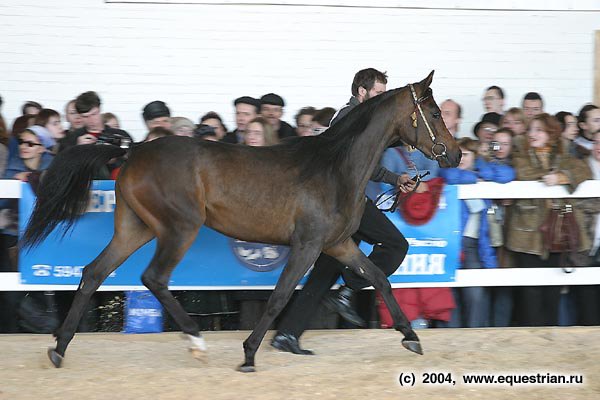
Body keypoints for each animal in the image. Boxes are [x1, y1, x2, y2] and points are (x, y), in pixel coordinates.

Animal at [22, 69, 460, 372]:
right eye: (434, 111)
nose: (454, 154)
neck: (335, 166)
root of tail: (131, 151)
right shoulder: (307, 245)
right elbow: (280, 295)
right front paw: (249, 354)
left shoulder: (338, 243)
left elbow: (379, 277)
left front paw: (411, 338)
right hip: (179, 228)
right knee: (154, 278)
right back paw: (196, 342)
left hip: (135, 227)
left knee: (93, 272)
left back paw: (59, 348)